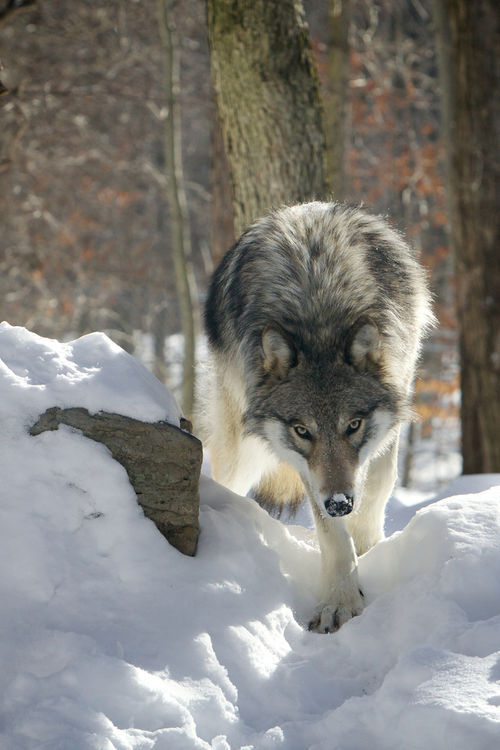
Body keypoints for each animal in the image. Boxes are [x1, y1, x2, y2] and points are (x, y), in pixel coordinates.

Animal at [198, 201, 434, 636]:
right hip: (243, 446)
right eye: (303, 431)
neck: (319, 313)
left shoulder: (397, 391)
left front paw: (368, 546)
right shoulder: (302, 461)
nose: (340, 503)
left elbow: (379, 482)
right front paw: (340, 601)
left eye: (353, 425)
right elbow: (331, 536)